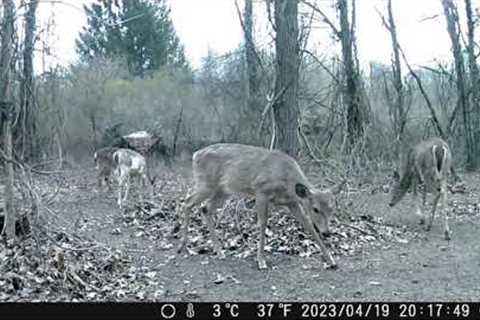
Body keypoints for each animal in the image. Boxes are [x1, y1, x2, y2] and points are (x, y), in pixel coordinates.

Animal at [176, 144, 344, 272]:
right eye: (315, 209)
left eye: (333, 208)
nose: (327, 232)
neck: (286, 180)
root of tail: (195, 155)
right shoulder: (261, 191)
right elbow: (262, 224)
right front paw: (261, 261)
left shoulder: (292, 202)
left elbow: (308, 225)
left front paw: (331, 260)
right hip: (206, 184)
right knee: (188, 202)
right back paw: (183, 246)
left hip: (223, 191)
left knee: (205, 208)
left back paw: (219, 251)